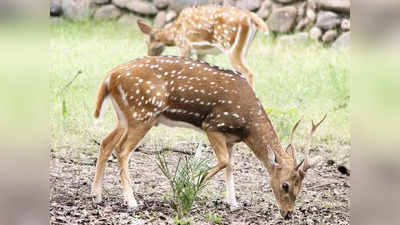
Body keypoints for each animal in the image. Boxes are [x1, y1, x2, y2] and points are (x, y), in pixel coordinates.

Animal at [92, 56, 326, 220]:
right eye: (285, 185)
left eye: (301, 186)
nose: (288, 214)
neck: (247, 125)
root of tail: (109, 77)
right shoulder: (213, 125)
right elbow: (223, 161)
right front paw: (192, 182)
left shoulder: (230, 138)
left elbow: (231, 165)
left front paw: (233, 203)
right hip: (142, 113)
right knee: (122, 150)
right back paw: (131, 202)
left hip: (125, 117)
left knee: (105, 143)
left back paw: (97, 195)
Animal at [136, 5, 270, 88]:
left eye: (146, 42)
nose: (149, 56)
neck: (174, 34)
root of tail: (251, 17)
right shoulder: (202, 52)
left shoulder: (185, 45)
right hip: (244, 49)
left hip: (231, 47)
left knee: (248, 73)